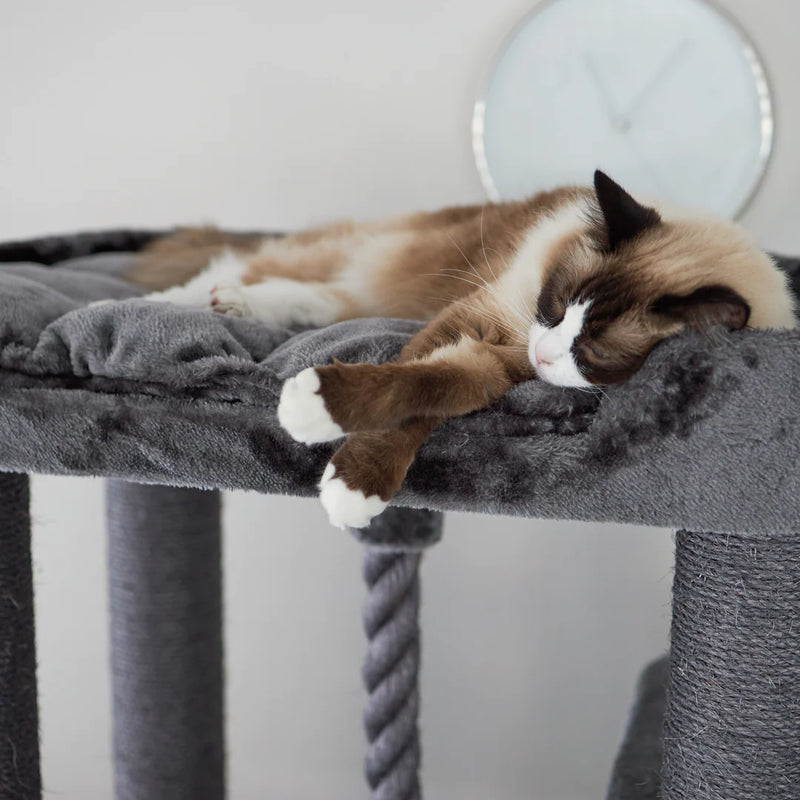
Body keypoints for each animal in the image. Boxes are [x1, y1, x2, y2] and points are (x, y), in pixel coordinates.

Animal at [125, 171, 792, 528]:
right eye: (556, 305)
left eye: (596, 353)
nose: (545, 354)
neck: (522, 351)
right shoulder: (483, 320)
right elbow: (402, 380)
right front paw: (325, 442)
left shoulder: (490, 364)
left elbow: (425, 392)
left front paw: (346, 478)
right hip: (364, 261)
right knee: (239, 264)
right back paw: (180, 300)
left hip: (361, 293)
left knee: (311, 297)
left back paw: (232, 308)